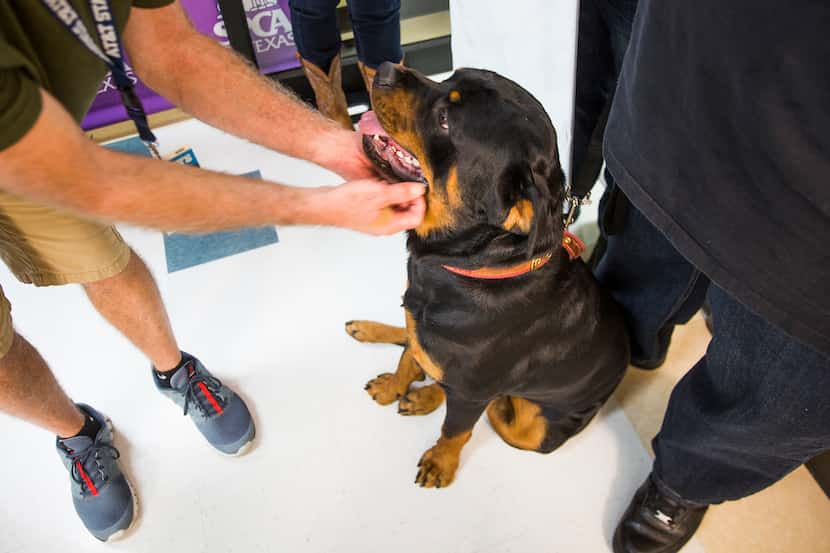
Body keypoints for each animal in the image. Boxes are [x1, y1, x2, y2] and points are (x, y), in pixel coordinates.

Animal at [346, 63, 632, 488]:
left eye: (445, 120)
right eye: (448, 78)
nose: (382, 69)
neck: (468, 264)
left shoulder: (474, 390)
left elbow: (456, 428)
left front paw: (441, 461)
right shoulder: (420, 322)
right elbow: (409, 358)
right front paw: (396, 385)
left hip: (529, 429)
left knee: (492, 405)